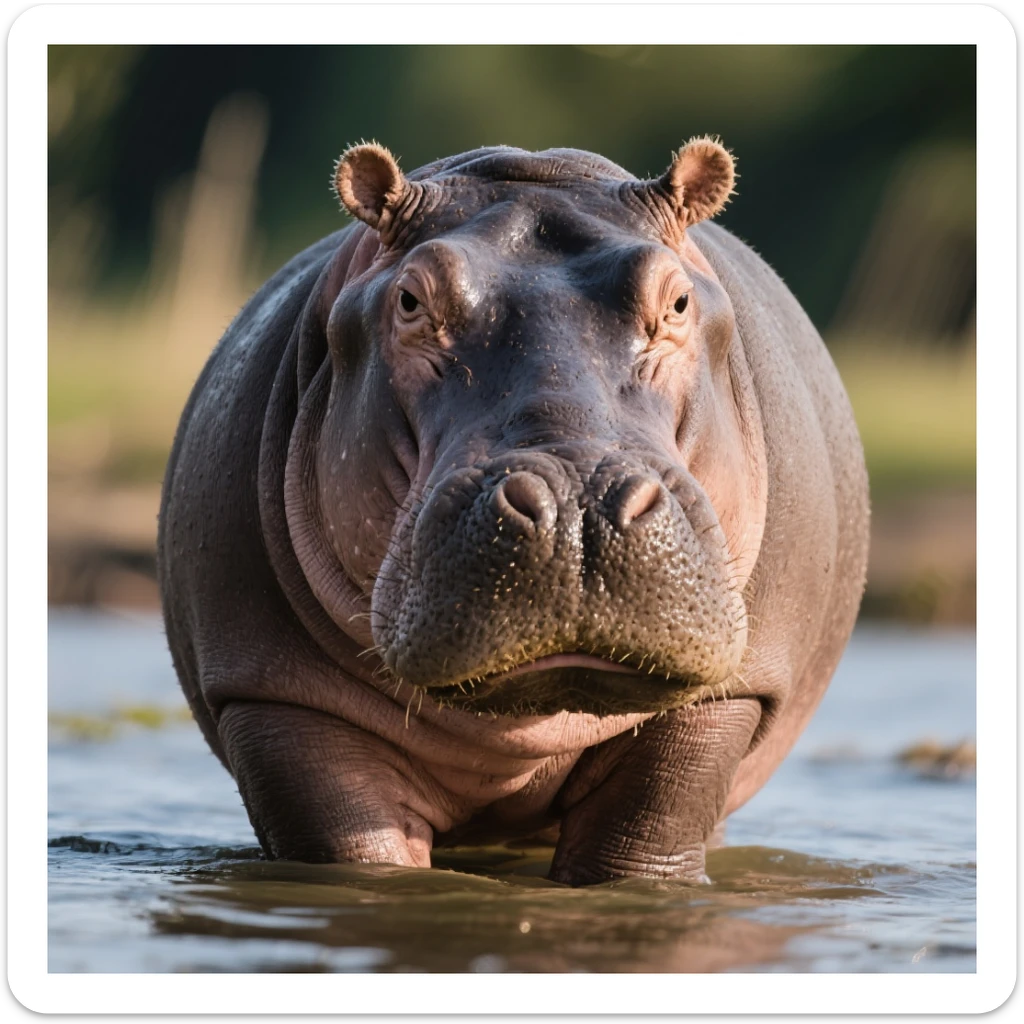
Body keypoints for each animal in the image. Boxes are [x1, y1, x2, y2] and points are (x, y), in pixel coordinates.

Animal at [158, 138, 869, 885]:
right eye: (409, 299)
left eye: (677, 300)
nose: (581, 503)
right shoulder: (276, 700)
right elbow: (354, 851)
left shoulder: (722, 704)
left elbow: (645, 841)